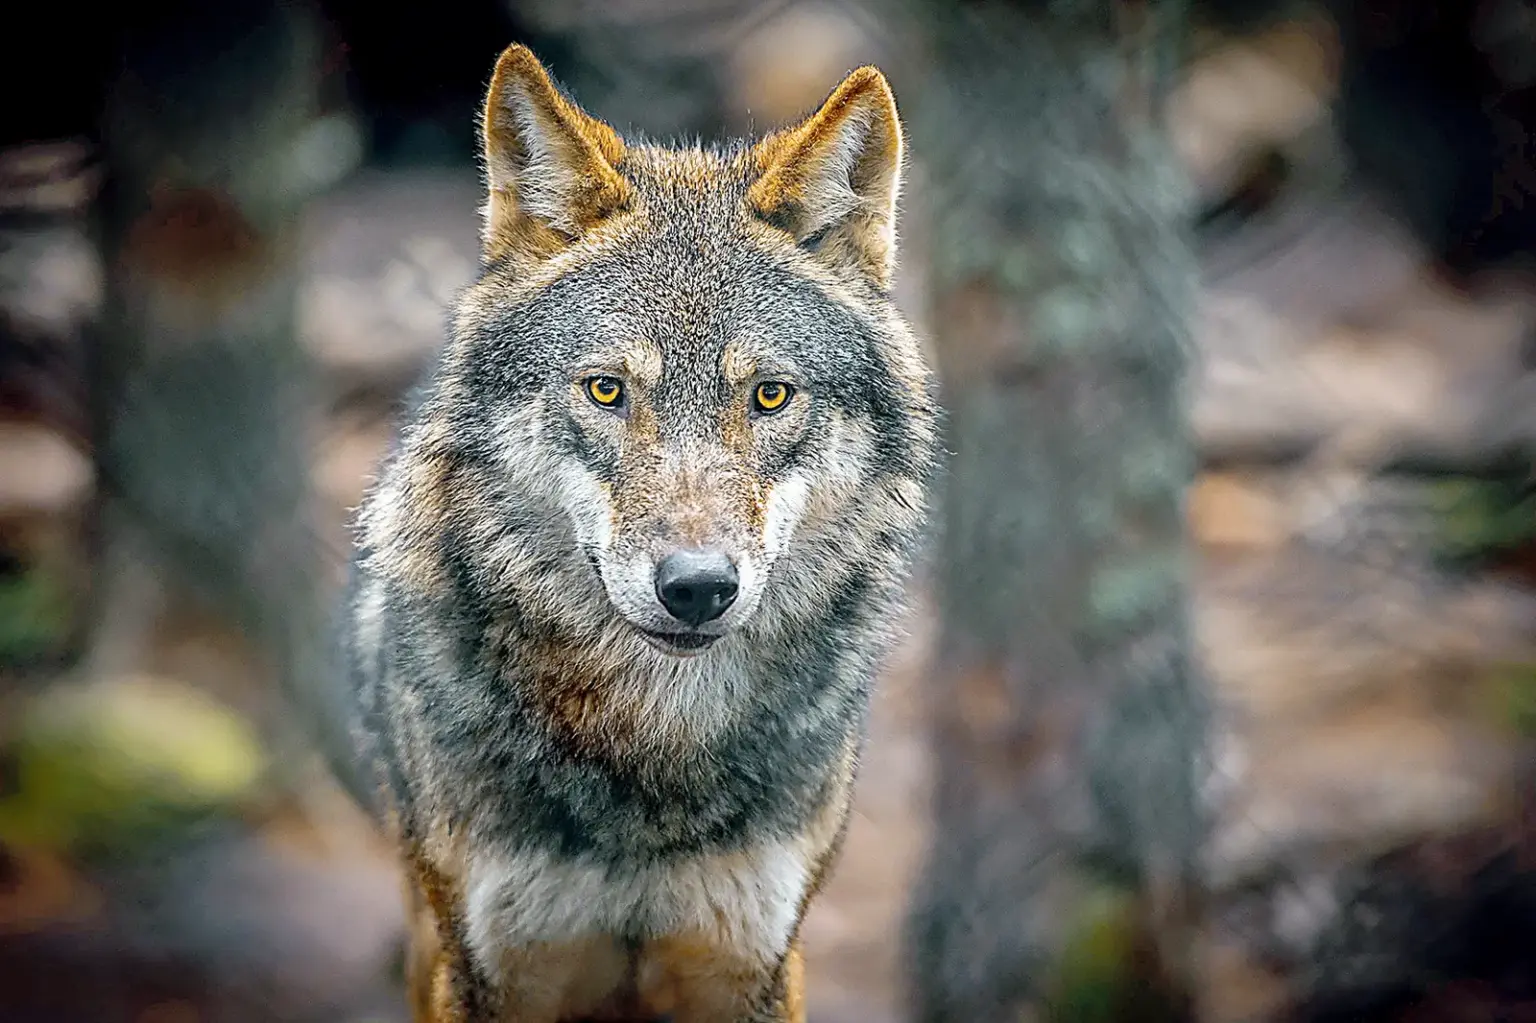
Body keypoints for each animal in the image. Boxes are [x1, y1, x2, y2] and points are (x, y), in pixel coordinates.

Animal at [340, 43, 939, 1022]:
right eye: (606, 390)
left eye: (769, 394)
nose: (696, 587)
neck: (652, 750)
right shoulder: (492, 967)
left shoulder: (752, 961)